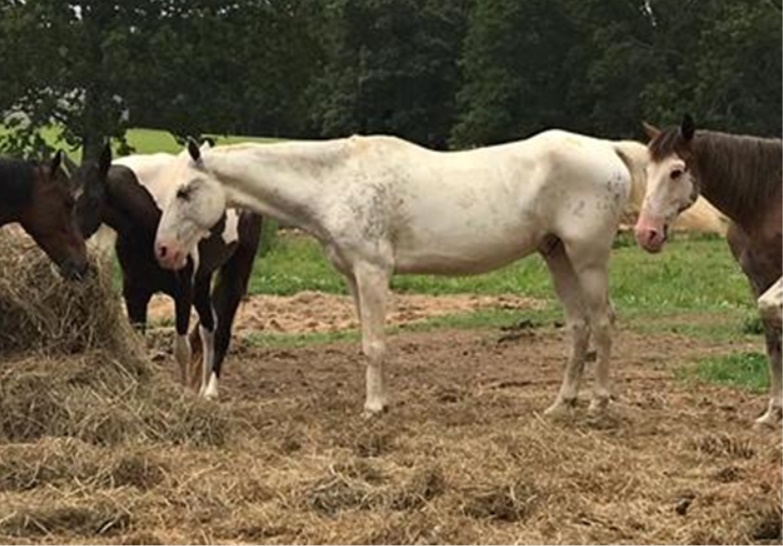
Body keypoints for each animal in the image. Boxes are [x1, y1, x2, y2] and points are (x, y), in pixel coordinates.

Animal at [70, 144, 263, 398]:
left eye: (92, 200)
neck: (151, 218)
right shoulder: (135, 292)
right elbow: (139, 345)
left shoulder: (182, 292)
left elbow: (181, 349)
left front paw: (182, 392)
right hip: (202, 281)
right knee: (207, 328)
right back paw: (202, 388)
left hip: (235, 270)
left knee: (221, 330)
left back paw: (210, 390)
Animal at [153, 130, 650, 417]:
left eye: (184, 191)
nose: (163, 250)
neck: (334, 181)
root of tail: (606, 149)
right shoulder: (353, 277)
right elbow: (366, 344)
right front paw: (379, 401)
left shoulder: (373, 272)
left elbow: (375, 345)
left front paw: (374, 408)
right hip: (557, 255)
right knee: (579, 326)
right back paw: (560, 405)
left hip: (587, 258)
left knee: (603, 322)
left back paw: (598, 403)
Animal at [635, 115, 782, 427]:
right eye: (647, 170)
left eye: (676, 172)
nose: (645, 233)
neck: (768, 201)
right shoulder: (758, 279)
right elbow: (773, 344)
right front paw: (773, 413)